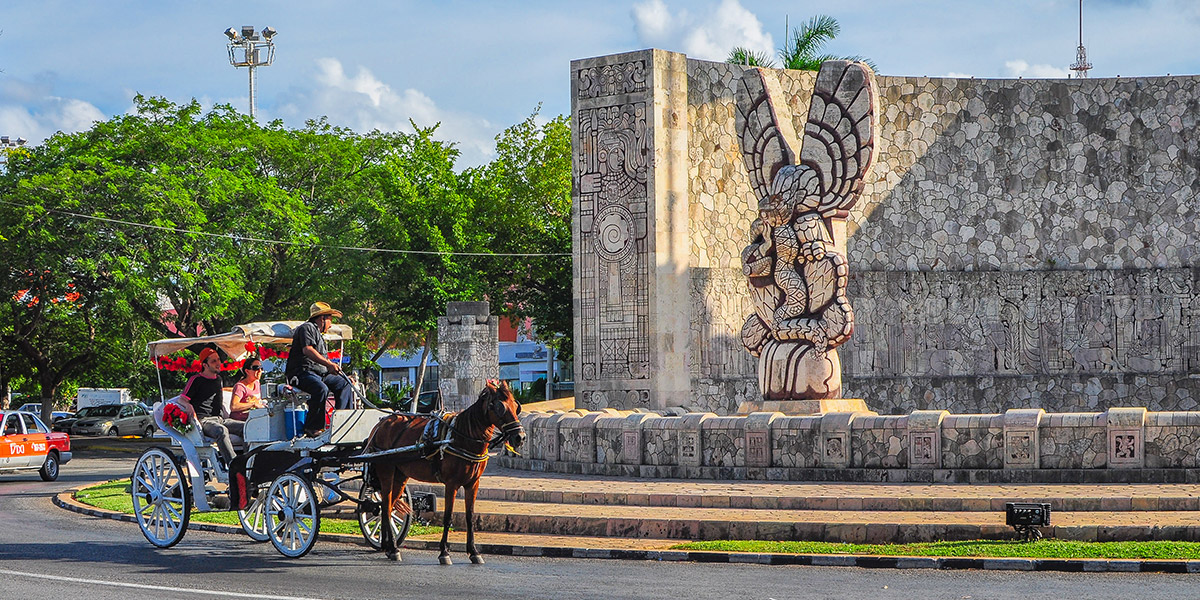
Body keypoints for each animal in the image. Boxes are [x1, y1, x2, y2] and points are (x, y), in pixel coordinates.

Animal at [364, 376, 525, 564]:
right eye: (500, 407)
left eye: (515, 406)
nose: (520, 437)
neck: (462, 436)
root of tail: (381, 424)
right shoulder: (451, 484)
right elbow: (448, 517)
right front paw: (444, 552)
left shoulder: (473, 484)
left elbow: (470, 517)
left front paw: (474, 552)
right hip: (386, 472)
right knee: (385, 506)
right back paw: (393, 548)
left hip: (400, 476)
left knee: (387, 507)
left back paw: (390, 547)